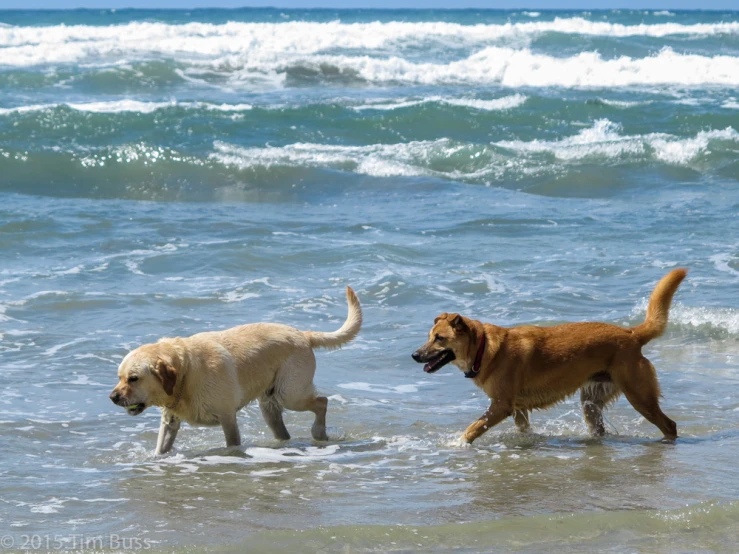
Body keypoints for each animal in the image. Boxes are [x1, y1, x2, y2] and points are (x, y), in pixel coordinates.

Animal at [109, 286, 362, 450]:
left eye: (133, 378)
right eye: (119, 377)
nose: (112, 397)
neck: (186, 374)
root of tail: (303, 334)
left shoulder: (227, 416)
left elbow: (232, 443)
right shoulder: (169, 421)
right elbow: (160, 449)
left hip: (290, 393)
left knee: (322, 402)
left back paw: (318, 433)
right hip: (269, 404)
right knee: (284, 429)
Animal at [410, 268, 688, 440]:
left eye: (439, 338)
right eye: (429, 336)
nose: (414, 355)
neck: (484, 348)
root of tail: (632, 334)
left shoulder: (501, 406)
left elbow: (473, 428)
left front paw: (456, 444)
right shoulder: (518, 409)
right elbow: (522, 429)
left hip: (639, 395)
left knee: (669, 424)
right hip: (592, 402)